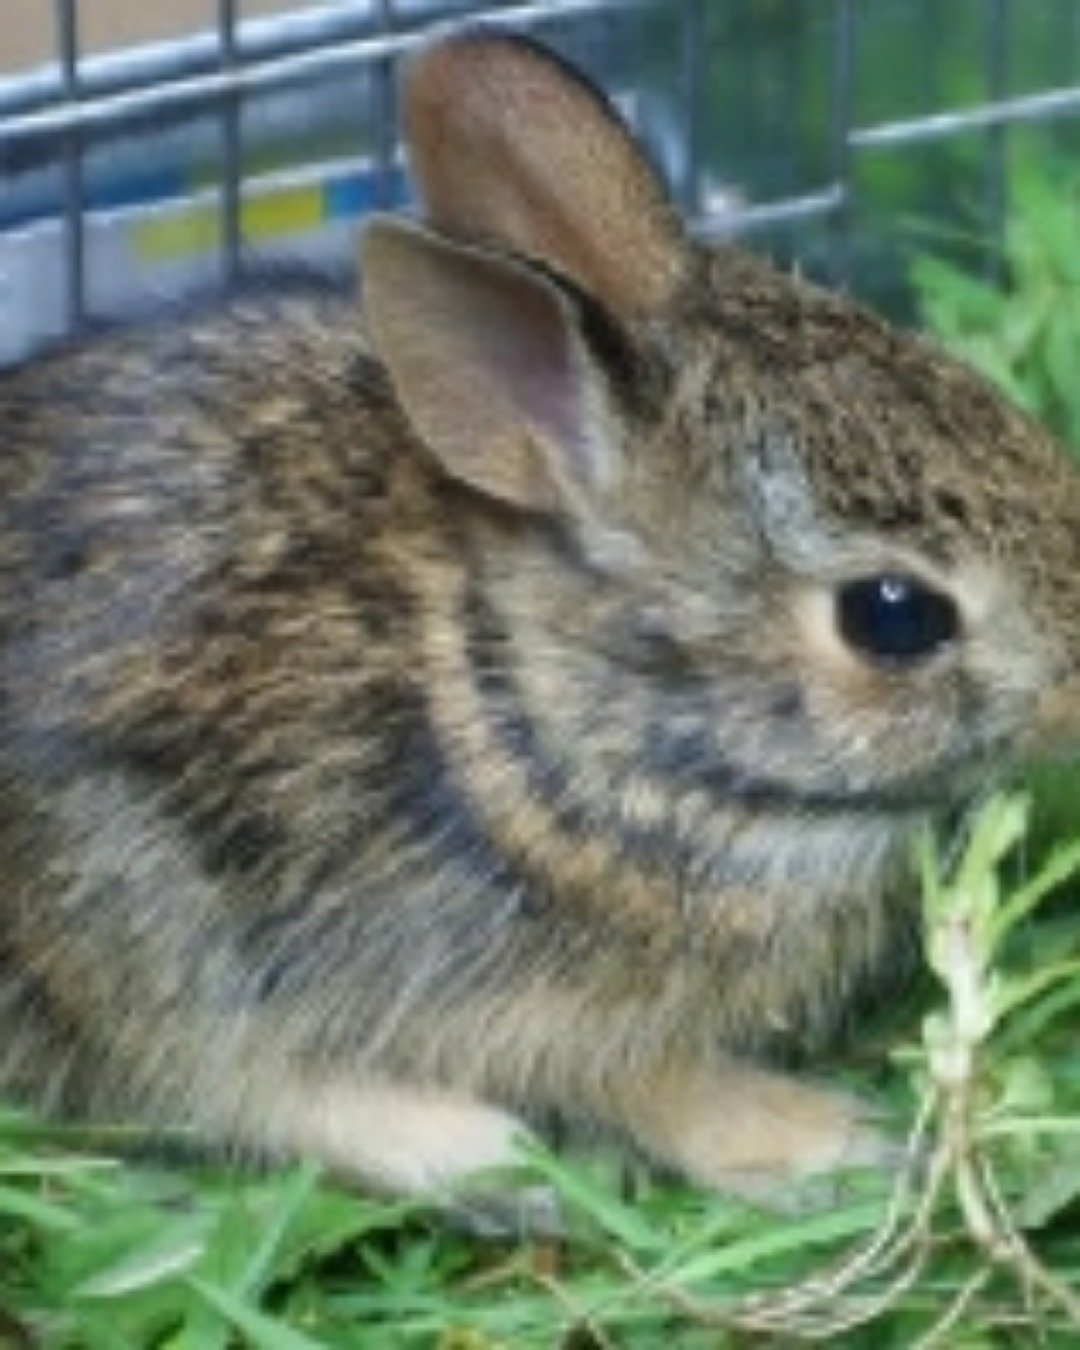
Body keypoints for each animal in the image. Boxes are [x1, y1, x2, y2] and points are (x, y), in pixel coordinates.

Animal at [1, 28, 1080, 1209]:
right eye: (892, 615)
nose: (1077, 688)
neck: (549, 709)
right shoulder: (557, 1021)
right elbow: (669, 1093)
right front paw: (832, 1145)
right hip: (122, 908)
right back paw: (472, 1152)